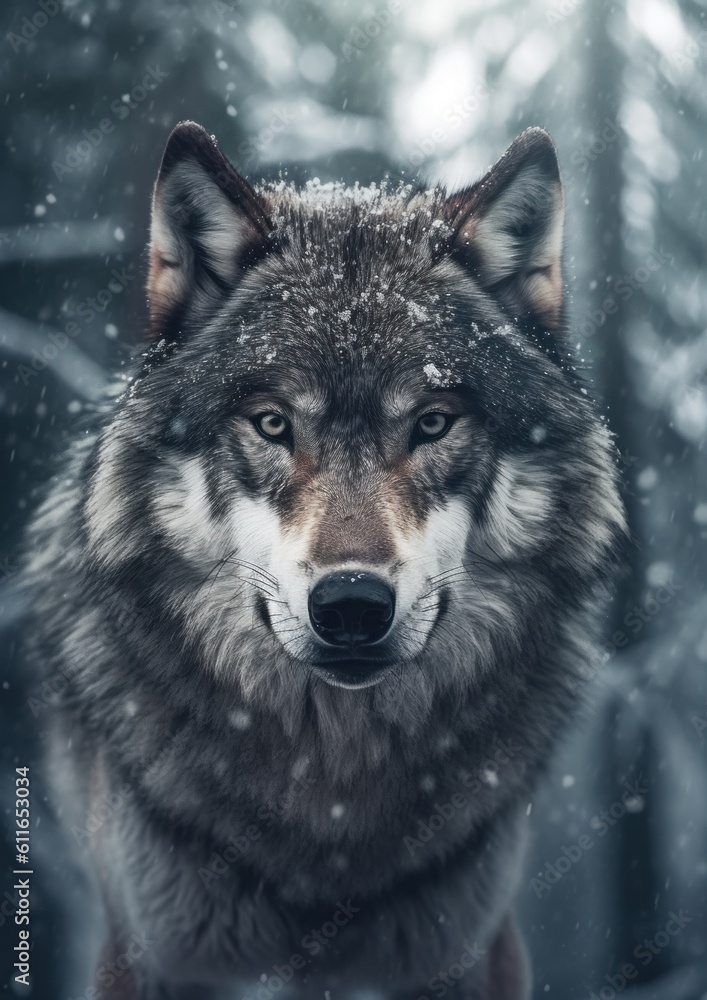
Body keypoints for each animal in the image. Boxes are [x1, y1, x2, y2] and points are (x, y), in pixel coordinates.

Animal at [23, 121, 626, 999]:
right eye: (273, 424)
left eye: (433, 423)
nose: (350, 605)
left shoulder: (467, 948)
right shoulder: (148, 950)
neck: (331, 790)